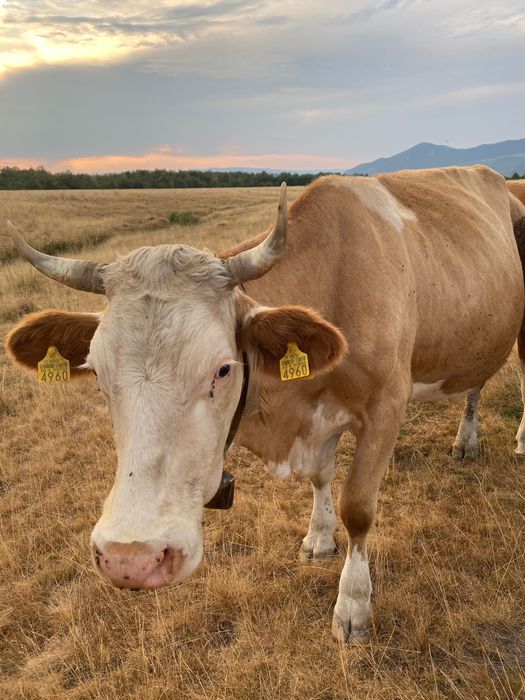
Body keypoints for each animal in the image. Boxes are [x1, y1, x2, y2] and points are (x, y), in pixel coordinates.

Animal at [5, 166, 525, 643]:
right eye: (97, 372)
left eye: (223, 368)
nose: (129, 558)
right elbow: (320, 476)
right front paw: (319, 536)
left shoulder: (386, 407)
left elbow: (359, 507)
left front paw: (353, 604)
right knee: (475, 383)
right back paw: (466, 440)